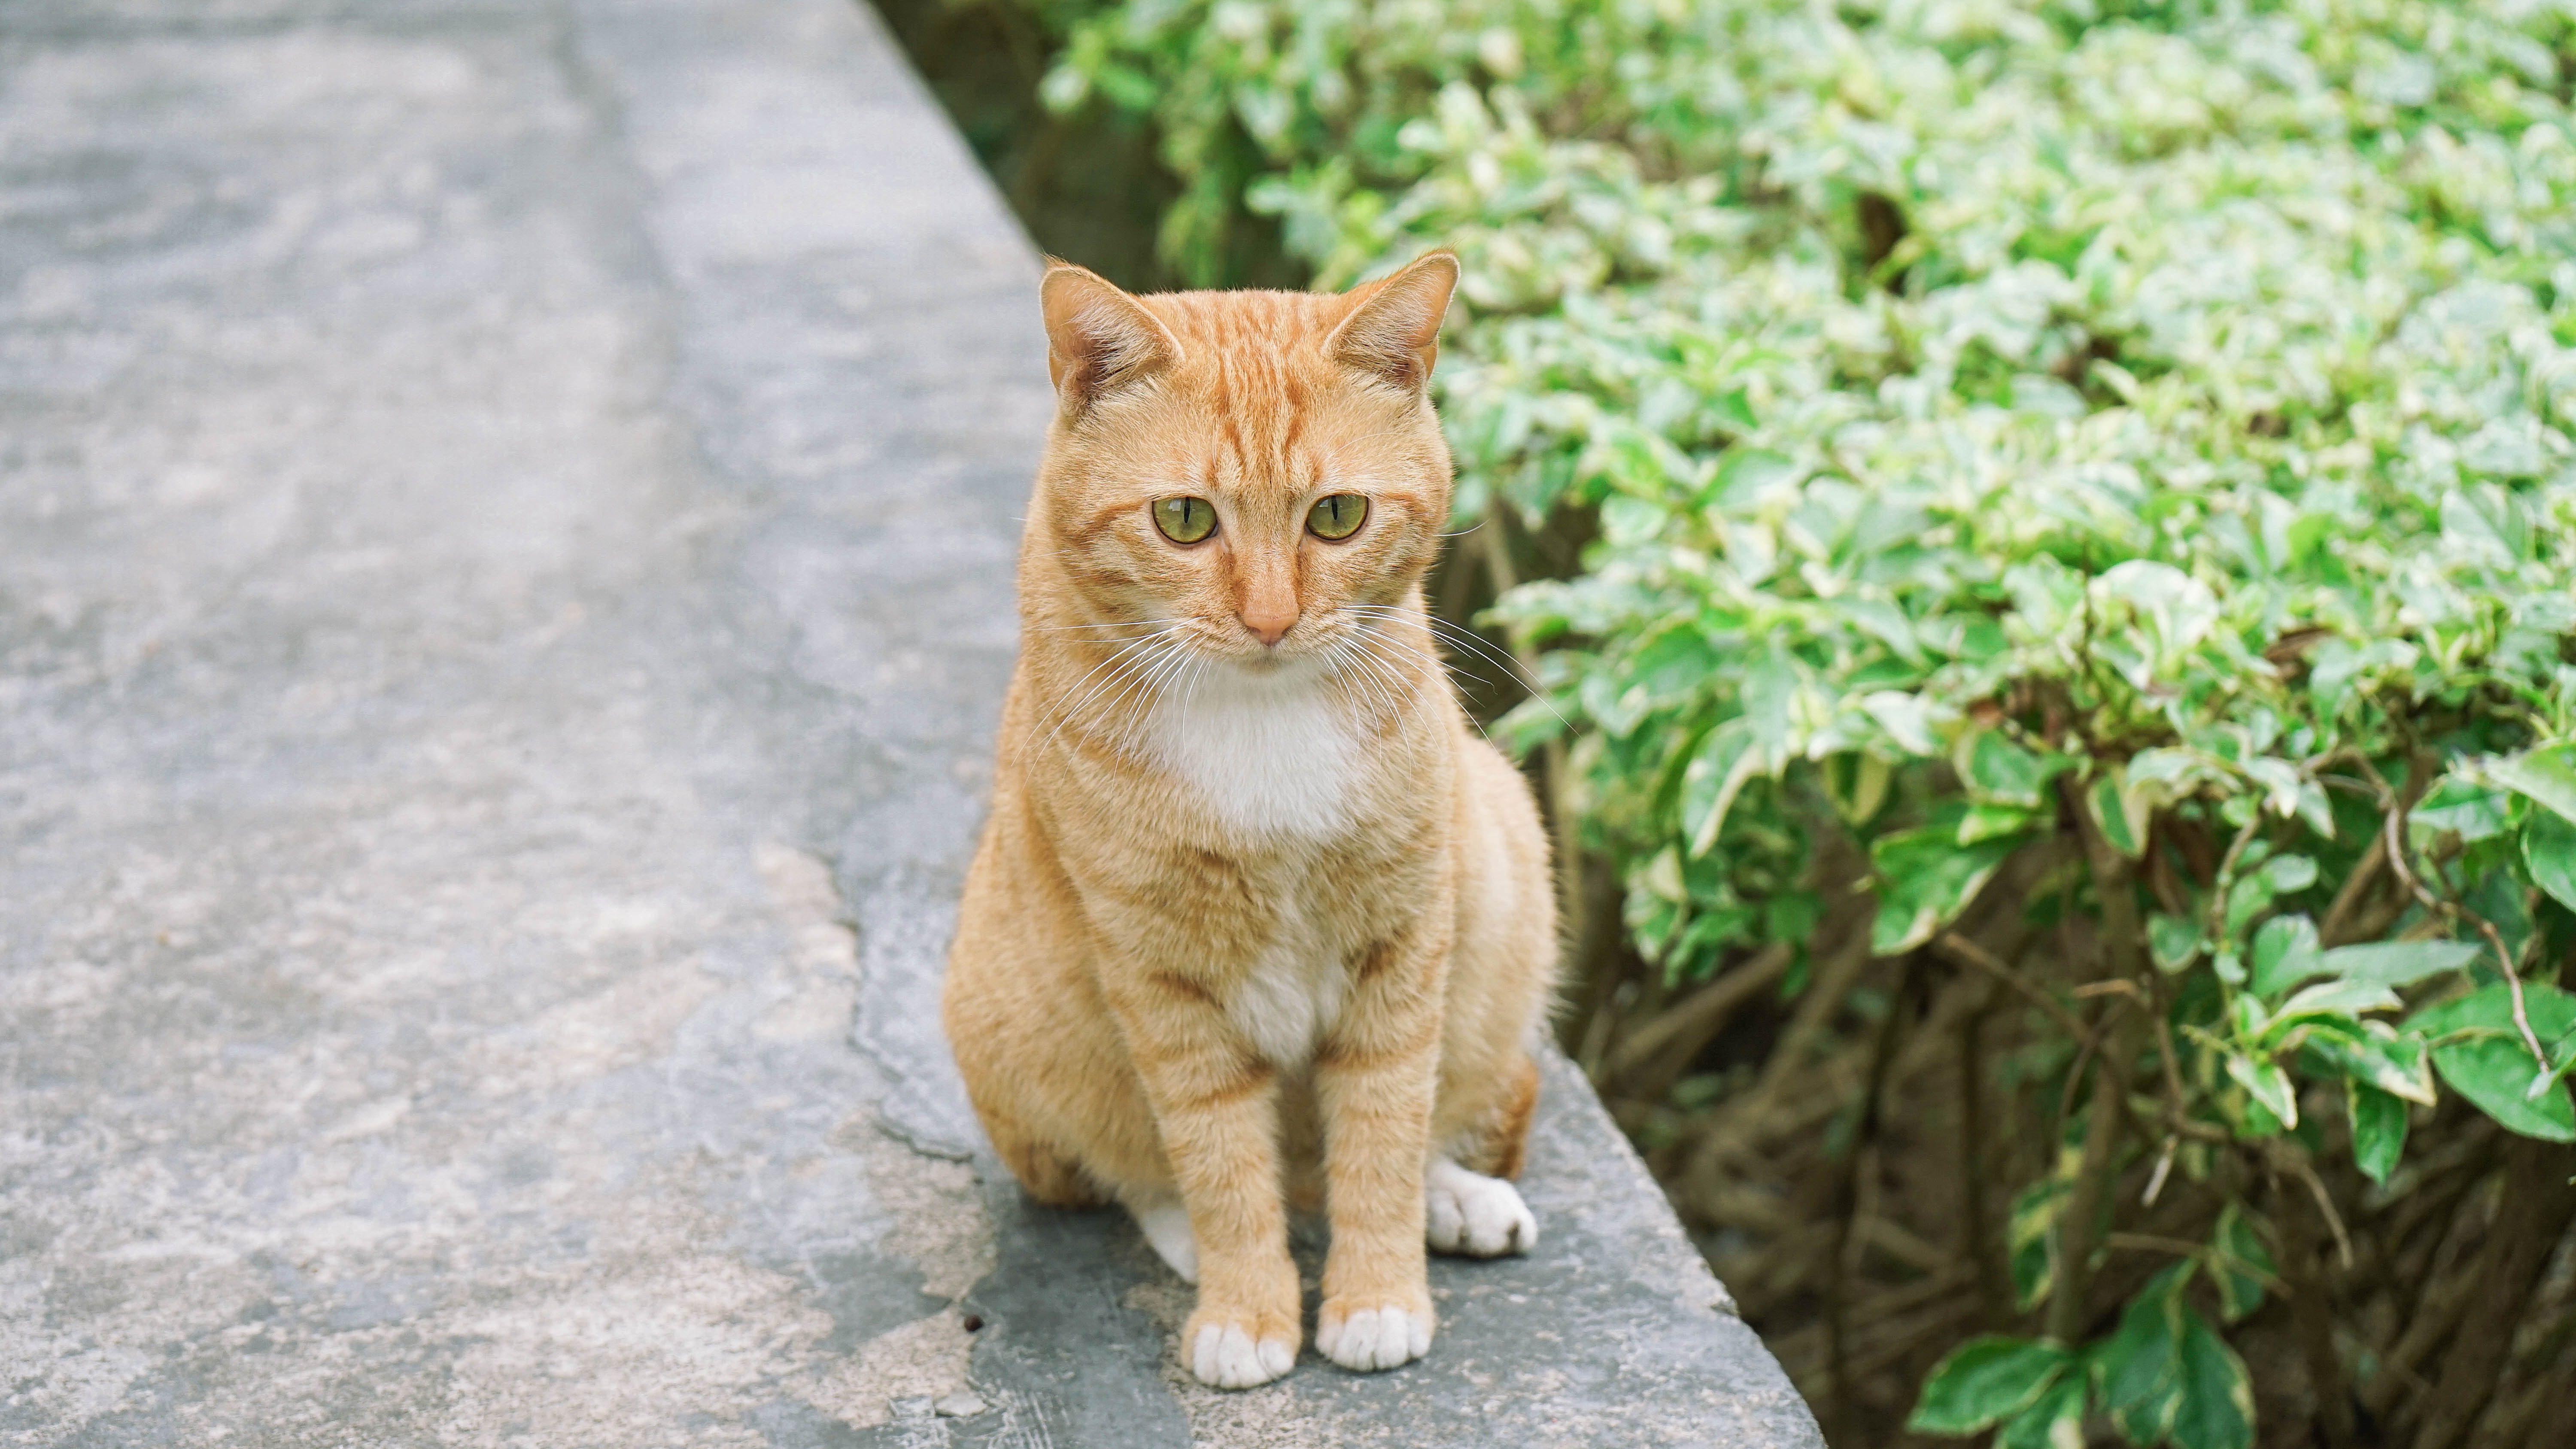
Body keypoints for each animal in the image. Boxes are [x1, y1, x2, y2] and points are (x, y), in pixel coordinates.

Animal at [943, 254, 1556, 1382]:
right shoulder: (1162, 981)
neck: (1260, 714)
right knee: (1144, 1172)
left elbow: (1384, 1128)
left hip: (1501, 860)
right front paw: (1246, 1306)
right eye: (1185, 520)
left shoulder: (1403, 940)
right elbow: (1221, 1156)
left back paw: (1449, 1199)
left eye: (1338, 516)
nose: (1271, 618)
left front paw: (1377, 1294)